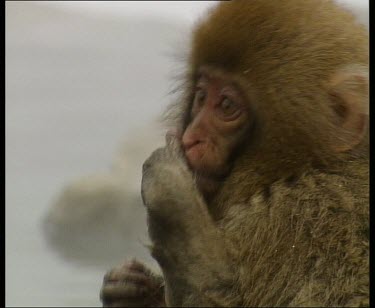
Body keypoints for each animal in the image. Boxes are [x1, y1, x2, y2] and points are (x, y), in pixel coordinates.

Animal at [100, 1, 370, 306]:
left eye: (227, 105)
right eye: (201, 97)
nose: (191, 139)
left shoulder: (300, 216)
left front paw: (169, 194)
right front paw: (130, 289)